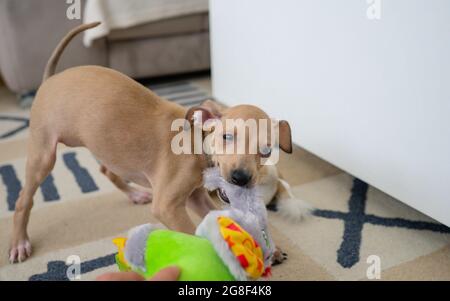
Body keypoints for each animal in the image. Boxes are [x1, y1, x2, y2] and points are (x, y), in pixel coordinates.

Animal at [10, 22, 296, 262]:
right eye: (227, 136)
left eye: (266, 150)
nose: (240, 178)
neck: (194, 143)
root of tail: (50, 79)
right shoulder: (168, 206)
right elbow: (192, 232)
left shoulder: (196, 197)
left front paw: (268, 248)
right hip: (44, 154)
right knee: (24, 199)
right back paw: (19, 242)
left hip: (104, 144)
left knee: (107, 170)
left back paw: (135, 193)